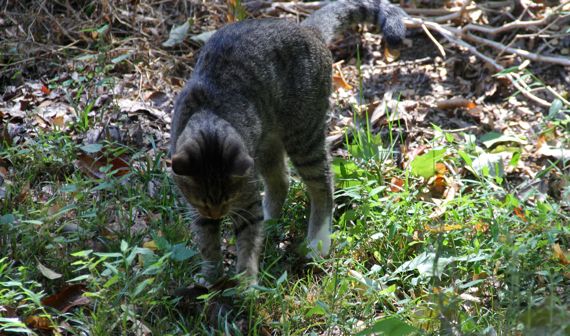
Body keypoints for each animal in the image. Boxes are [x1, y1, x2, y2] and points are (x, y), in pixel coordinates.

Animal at [169, 0, 404, 286]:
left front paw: (246, 283)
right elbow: (207, 243)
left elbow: (247, 243)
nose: (218, 215)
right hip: (268, 143)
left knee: (323, 185)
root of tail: (308, 29)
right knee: (281, 181)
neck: (208, 116)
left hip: (304, 135)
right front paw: (212, 279)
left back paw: (317, 242)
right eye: (203, 202)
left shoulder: (246, 199)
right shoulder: (199, 209)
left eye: (229, 197)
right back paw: (270, 223)